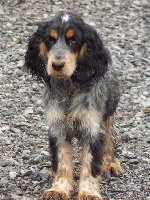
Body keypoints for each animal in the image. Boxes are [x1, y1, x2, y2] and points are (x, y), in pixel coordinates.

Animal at [24, 11, 122, 200]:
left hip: (108, 113)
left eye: (73, 40)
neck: (68, 88)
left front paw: (89, 192)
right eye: (50, 39)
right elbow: (62, 163)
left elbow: (91, 165)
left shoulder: (92, 128)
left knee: (109, 139)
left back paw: (111, 164)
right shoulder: (58, 128)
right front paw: (58, 189)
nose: (57, 65)